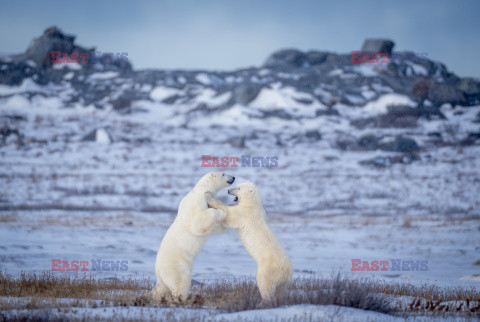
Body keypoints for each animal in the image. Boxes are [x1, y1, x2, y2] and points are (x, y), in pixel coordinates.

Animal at [153, 172, 235, 300]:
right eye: (223, 173)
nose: (233, 177)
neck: (201, 191)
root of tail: (158, 270)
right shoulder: (195, 203)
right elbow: (198, 222)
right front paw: (222, 212)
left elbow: (214, 228)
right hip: (177, 266)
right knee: (180, 281)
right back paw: (181, 298)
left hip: (164, 277)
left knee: (161, 287)